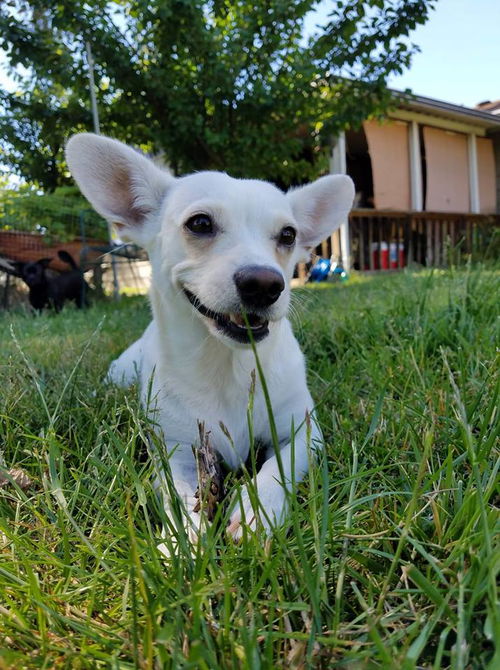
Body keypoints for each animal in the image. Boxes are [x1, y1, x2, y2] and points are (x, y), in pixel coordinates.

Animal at [65, 134, 356, 544]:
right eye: (200, 223)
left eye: (289, 235)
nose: (265, 284)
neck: (227, 363)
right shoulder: (176, 452)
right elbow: (179, 495)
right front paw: (183, 541)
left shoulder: (303, 433)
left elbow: (279, 466)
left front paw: (258, 510)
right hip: (121, 374)